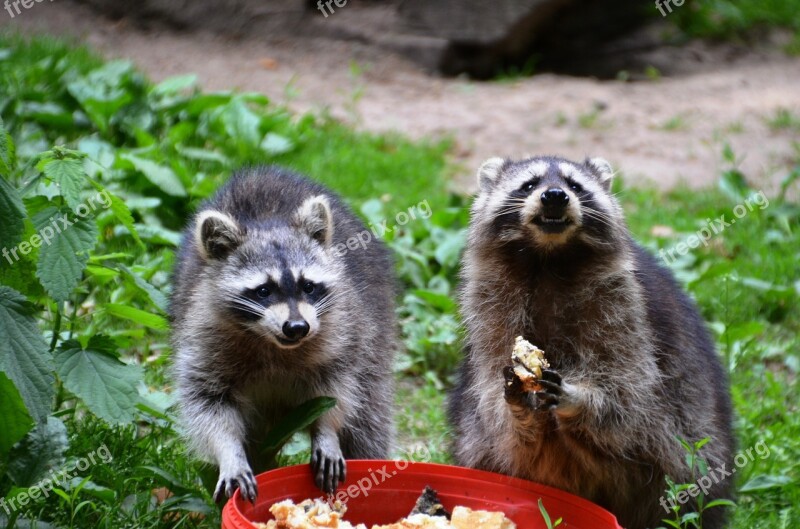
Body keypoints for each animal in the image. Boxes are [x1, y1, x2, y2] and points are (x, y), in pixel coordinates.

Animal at [171, 167, 396, 502]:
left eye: (308, 286)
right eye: (264, 291)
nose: (297, 327)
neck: (273, 344)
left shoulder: (341, 333)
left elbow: (336, 392)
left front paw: (326, 431)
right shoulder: (203, 335)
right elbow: (207, 403)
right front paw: (229, 453)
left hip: (376, 337)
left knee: (369, 419)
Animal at [446, 156, 736, 528]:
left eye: (574, 185)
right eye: (529, 184)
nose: (555, 196)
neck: (548, 256)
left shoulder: (624, 307)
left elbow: (630, 392)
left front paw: (579, 399)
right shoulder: (490, 307)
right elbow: (492, 399)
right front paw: (519, 406)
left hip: (693, 442)